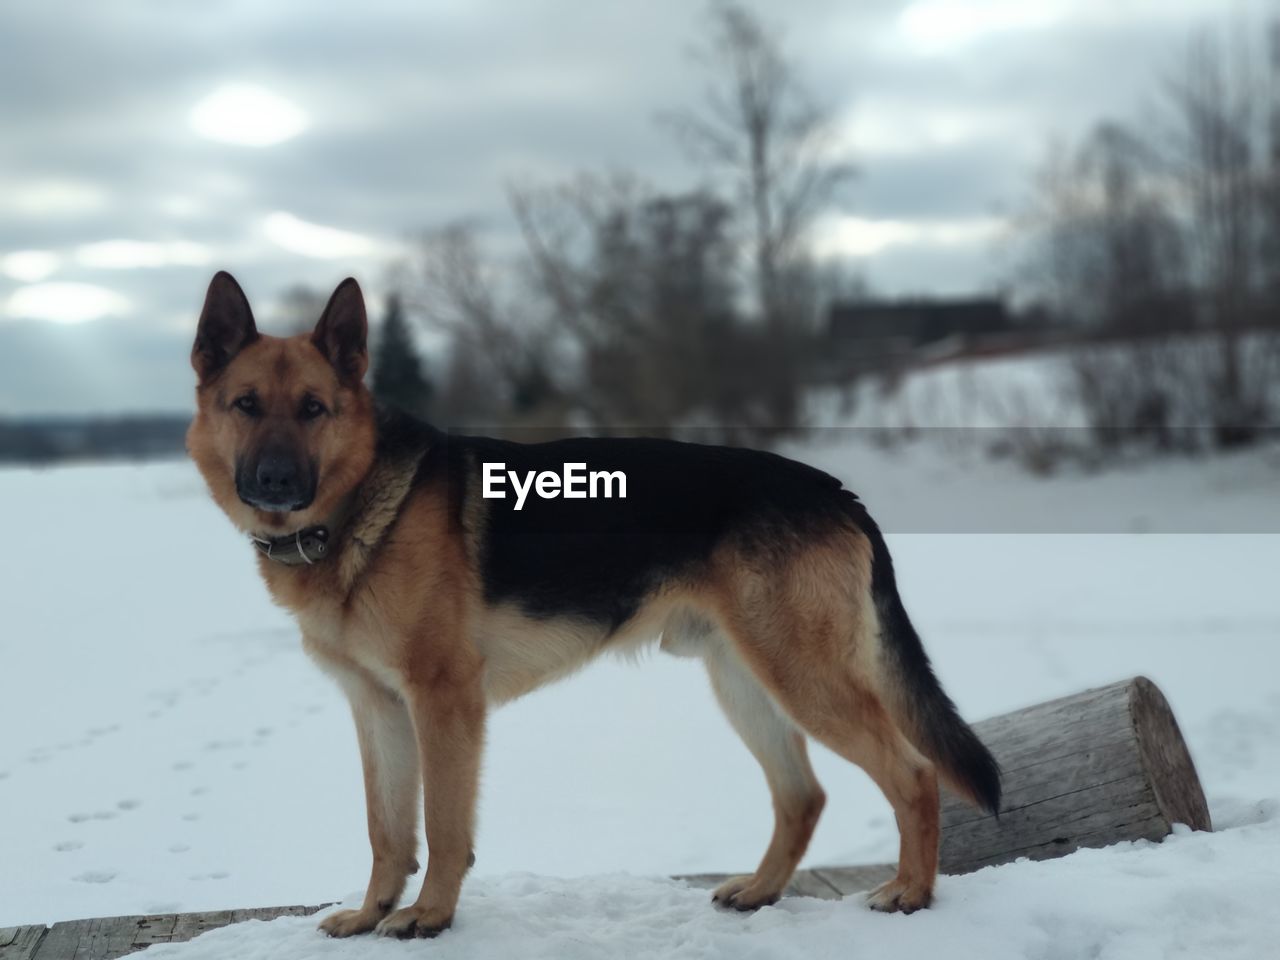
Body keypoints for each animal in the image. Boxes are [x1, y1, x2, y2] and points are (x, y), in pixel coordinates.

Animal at [186, 271, 998, 942]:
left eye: (314, 410)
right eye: (246, 406)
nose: (275, 480)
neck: (356, 509)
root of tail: (836, 491)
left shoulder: (443, 702)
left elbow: (443, 827)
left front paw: (430, 916)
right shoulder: (378, 708)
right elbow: (386, 829)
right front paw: (370, 913)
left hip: (802, 678)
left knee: (913, 774)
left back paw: (911, 894)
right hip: (746, 682)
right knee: (802, 796)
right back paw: (762, 891)